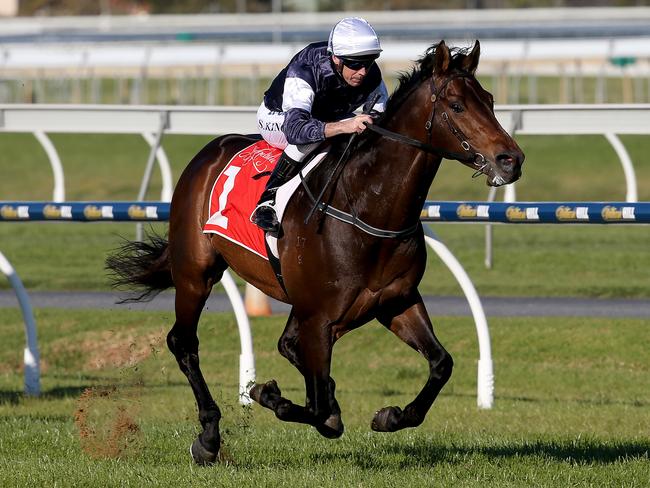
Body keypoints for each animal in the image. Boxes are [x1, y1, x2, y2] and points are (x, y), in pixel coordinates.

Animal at [105, 40, 520, 464]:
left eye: (489, 100)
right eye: (456, 105)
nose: (511, 159)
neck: (367, 206)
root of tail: (209, 152)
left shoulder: (394, 301)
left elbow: (441, 364)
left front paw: (390, 415)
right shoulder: (319, 316)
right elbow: (317, 408)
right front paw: (267, 394)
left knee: (286, 344)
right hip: (196, 272)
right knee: (184, 342)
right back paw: (208, 436)